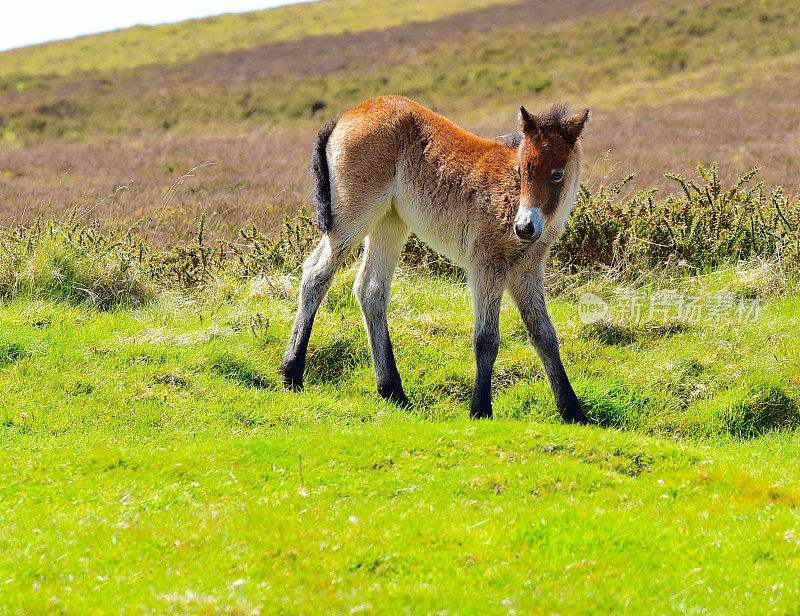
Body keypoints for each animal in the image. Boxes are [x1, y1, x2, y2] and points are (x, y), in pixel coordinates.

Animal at [282, 96, 588, 424]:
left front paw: (572, 411)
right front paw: (480, 409)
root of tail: (349, 113)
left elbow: (545, 334)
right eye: (521, 170)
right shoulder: (486, 265)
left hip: (390, 222)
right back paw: (292, 373)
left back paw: (393, 391)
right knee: (316, 273)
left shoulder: (527, 271)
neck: (507, 196)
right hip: (353, 214)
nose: (525, 227)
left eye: (557, 173)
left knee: (370, 290)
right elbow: (487, 338)